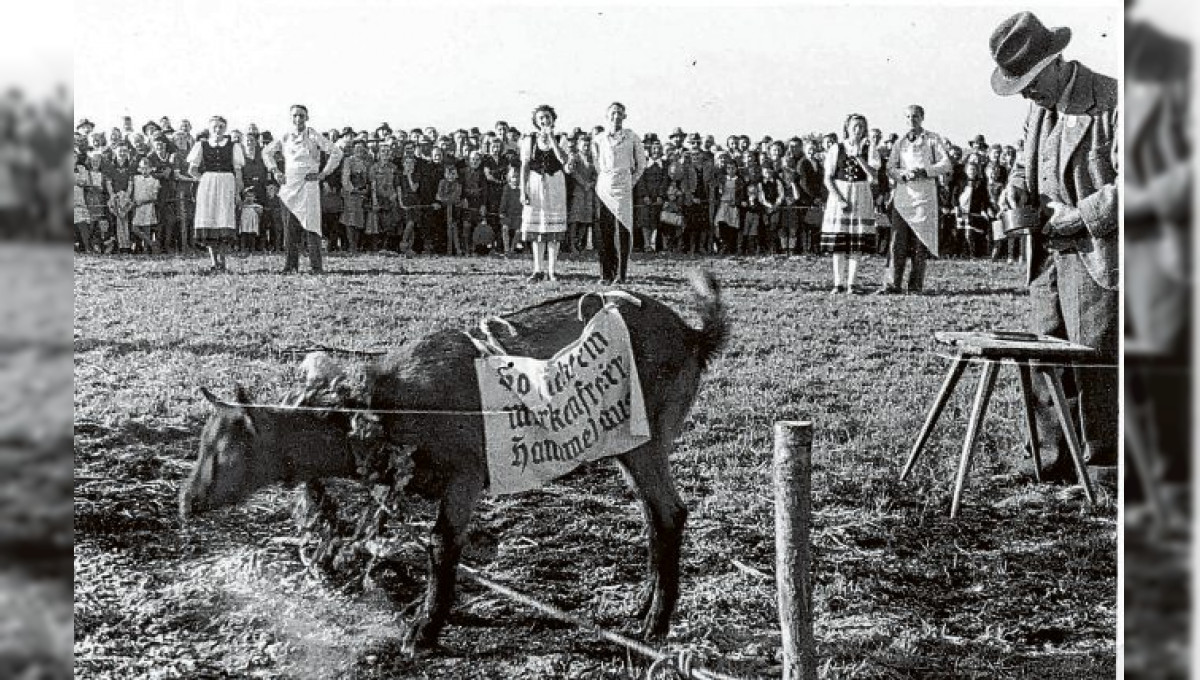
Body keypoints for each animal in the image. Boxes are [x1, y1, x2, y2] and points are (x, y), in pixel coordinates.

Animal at [178, 269, 729, 652]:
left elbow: (443, 548)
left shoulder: (465, 477)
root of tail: (694, 334)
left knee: (670, 515)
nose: (186, 501)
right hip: (627, 450)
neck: (386, 404)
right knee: (654, 519)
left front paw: (423, 632)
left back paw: (656, 624)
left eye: (223, 448)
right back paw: (642, 609)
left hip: (644, 443)